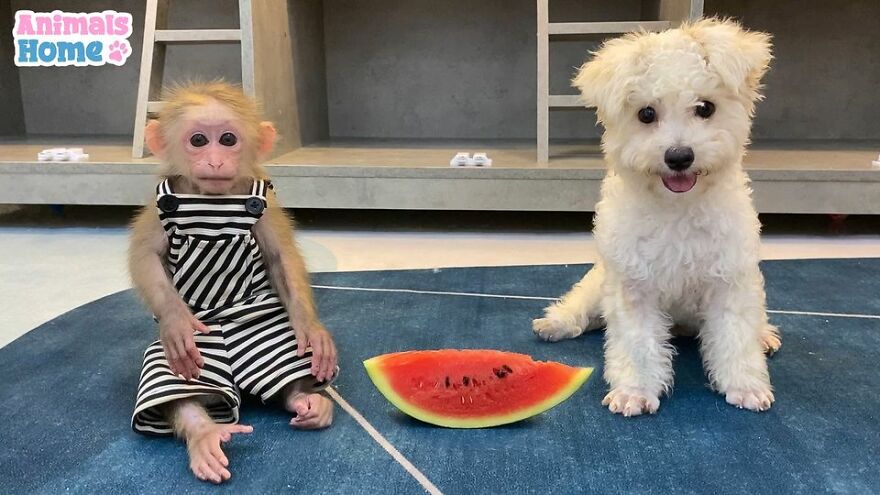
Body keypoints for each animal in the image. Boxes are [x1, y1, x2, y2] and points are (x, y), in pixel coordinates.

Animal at [128, 81, 338, 484]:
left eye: (227, 139)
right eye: (198, 140)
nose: (214, 161)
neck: (211, 202)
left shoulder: (265, 206)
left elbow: (281, 258)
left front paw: (310, 327)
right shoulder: (157, 210)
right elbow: (146, 259)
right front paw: (176, 322)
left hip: (265, 336)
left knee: (288, 360)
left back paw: (304, 399)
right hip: (191, 363)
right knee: (177, 386)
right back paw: (205, 434)